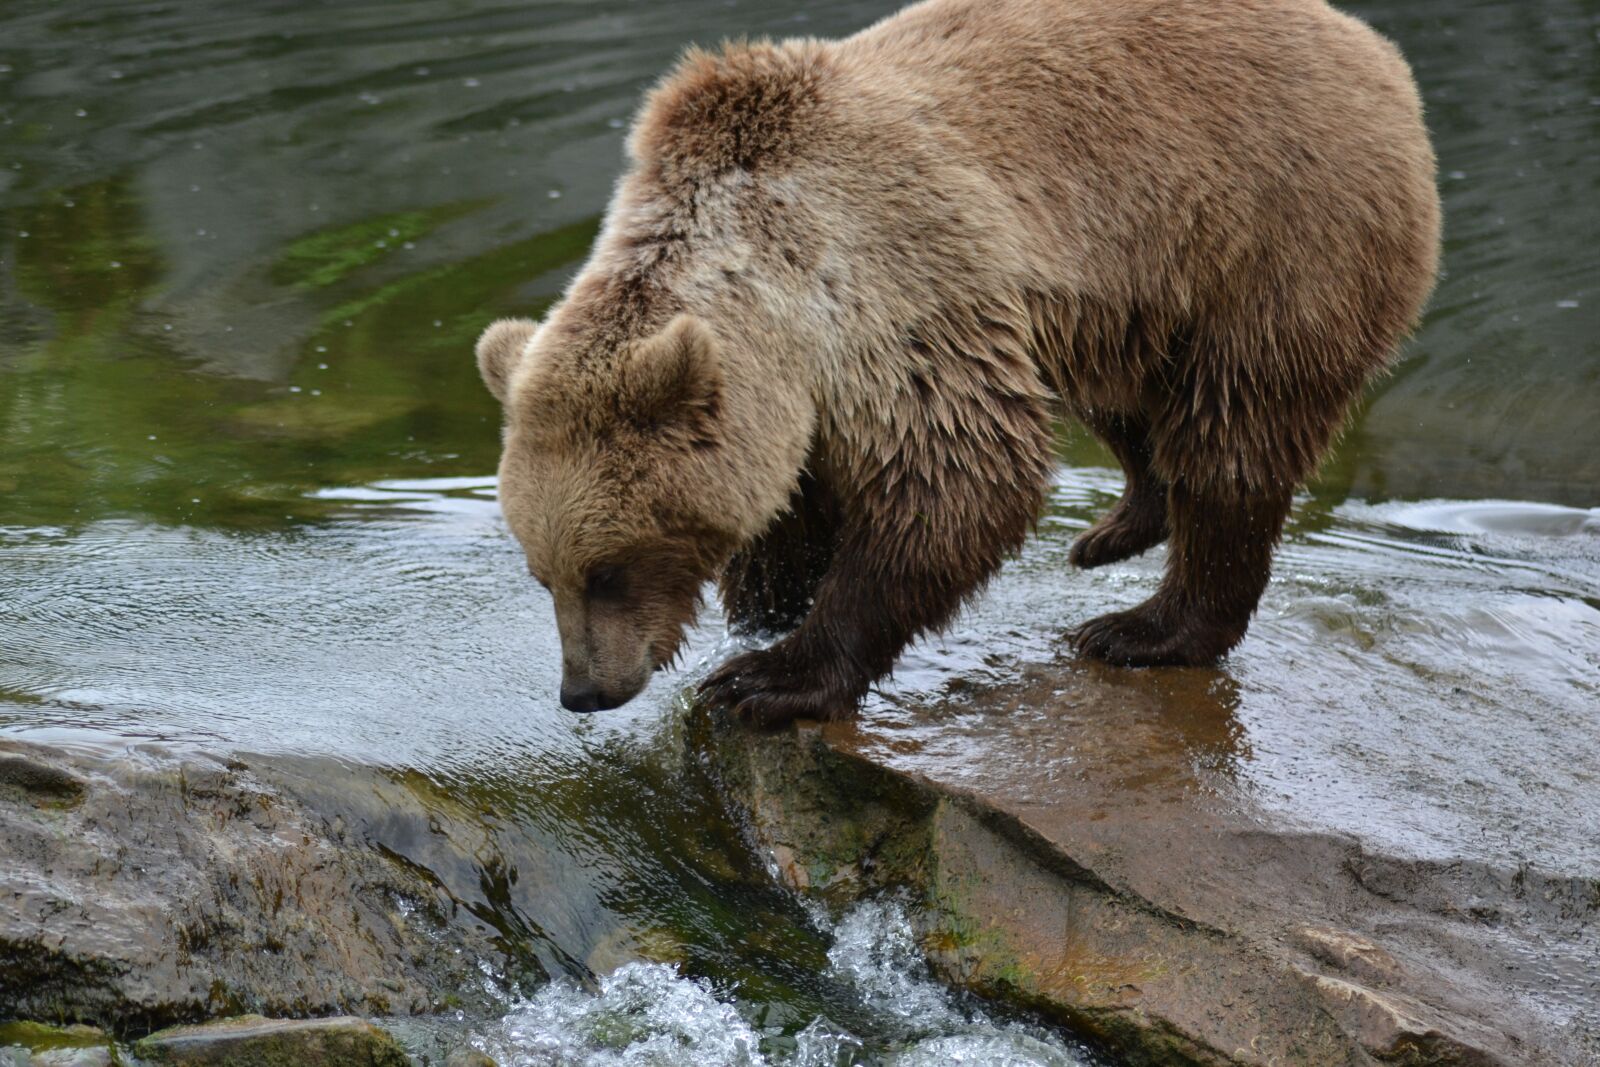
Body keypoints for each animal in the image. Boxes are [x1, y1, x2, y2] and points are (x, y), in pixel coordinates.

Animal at [475, 0, 1440, 723]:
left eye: (609, 568)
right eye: (542, 570)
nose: (585, 690)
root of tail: (1372, 46)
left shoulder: (892, 278)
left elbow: (958, 473)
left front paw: (767, 676)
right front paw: (766, 589)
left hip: (1271, 235)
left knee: (1236, 431)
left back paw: (1146, 626)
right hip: (1129, 292)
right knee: (1122, 397)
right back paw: (1119, 524)